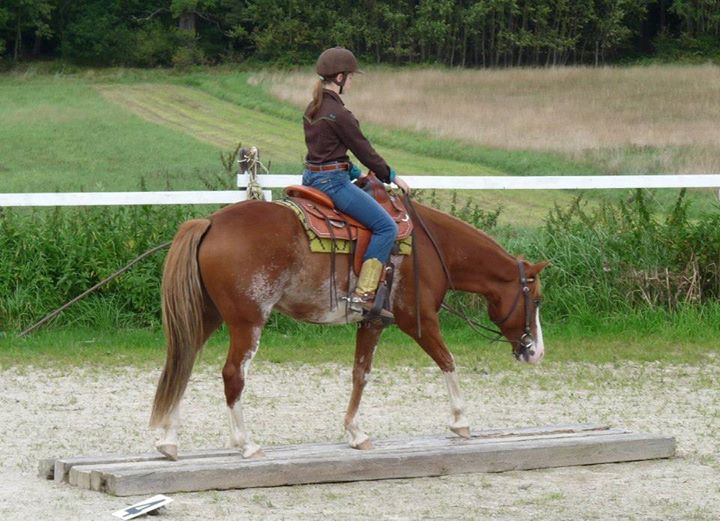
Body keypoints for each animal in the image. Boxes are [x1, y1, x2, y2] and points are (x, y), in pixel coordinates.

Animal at [149, 197, 548, 458]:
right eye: (538, 299)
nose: (536, 352)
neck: (430, 247)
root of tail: (210, 222)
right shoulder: (417, 320)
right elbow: (448, 361)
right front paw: (461, 422)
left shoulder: (373, 322)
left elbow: (360, 373)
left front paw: (356, 432)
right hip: (248, 323)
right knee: (233, 374)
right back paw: (246, 444)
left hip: (208, 316)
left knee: (183, 364)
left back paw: (168, 440)